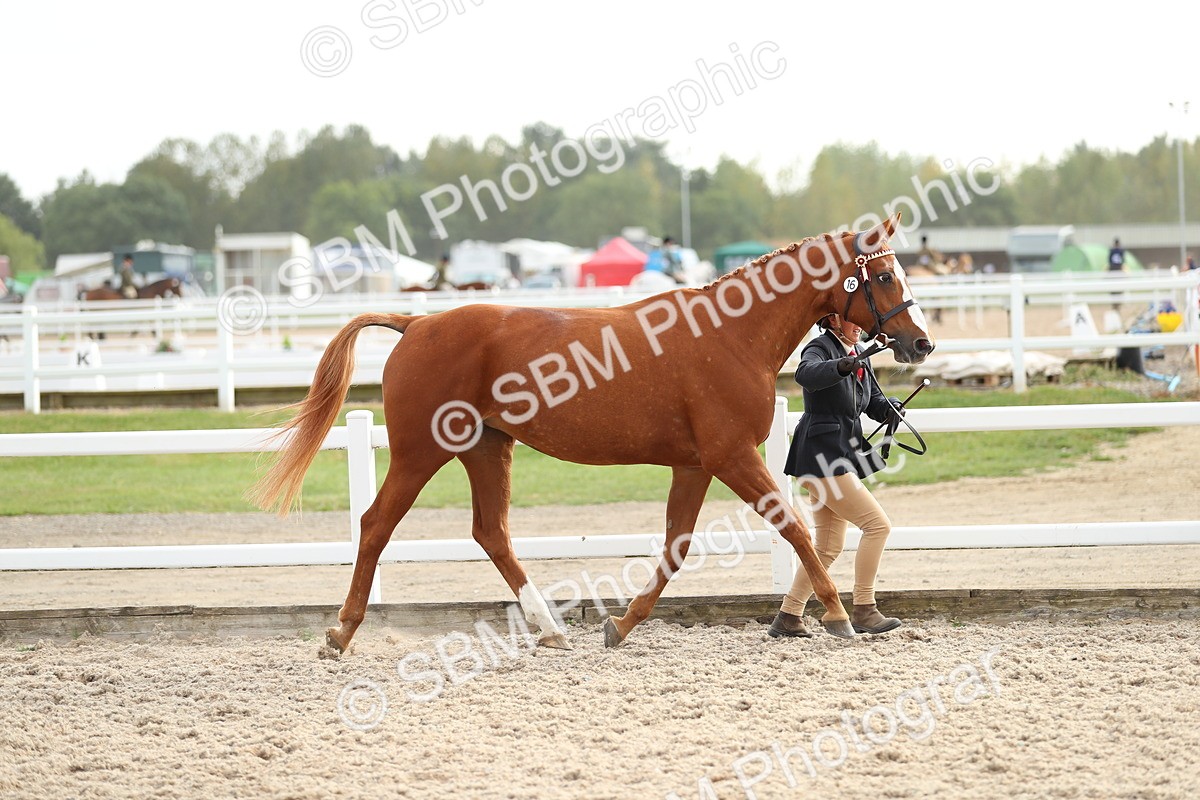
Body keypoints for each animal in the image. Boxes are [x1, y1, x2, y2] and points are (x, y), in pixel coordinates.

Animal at [250, 213, 934, 654]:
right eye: (884, 277)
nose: (921, 343)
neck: (728, 335)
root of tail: (416, 322)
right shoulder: (733, 456)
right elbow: (793, 528)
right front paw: (840, 616)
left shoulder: (696, 464)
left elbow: (675, 548)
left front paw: (621, 627)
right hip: (423, 452)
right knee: (376, 525)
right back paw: (340, 633)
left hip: (486, 448)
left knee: (491, 532)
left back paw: (550, 629)